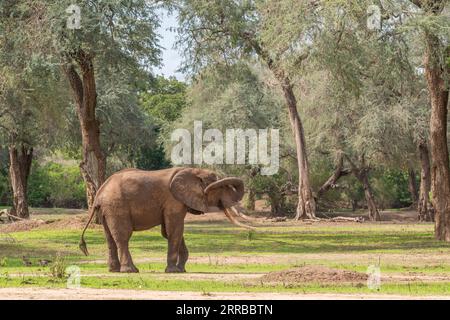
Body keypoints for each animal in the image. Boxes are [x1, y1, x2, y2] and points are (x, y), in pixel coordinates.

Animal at [79, 166, 255, 274]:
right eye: (219, 187)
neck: (192, 170)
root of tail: (99, 193)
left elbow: (171, 231)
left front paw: (181, 270)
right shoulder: (173, 201)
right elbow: (174, 230)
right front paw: (174, 271)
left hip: (107, 210)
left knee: (109, 237)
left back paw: (114, 270)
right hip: (117, 206)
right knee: (123, 236)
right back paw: (131, 270)